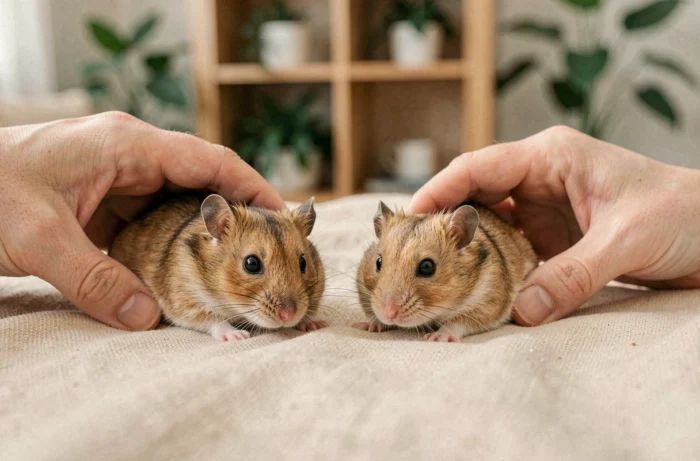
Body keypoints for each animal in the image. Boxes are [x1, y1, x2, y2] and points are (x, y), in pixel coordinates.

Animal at [109, 193, 327, 341]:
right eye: (251, 264)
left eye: (303, 262)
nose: (288, 316)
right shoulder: (184, 302)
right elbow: (214, 320)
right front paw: (239, 336)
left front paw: (316, 324)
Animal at [354, 201, 537, 342]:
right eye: (378, 262)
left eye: (427, 267)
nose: (388, 314)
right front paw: (368, 326)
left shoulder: (488, 303)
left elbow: (457, 322)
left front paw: (435, 338)